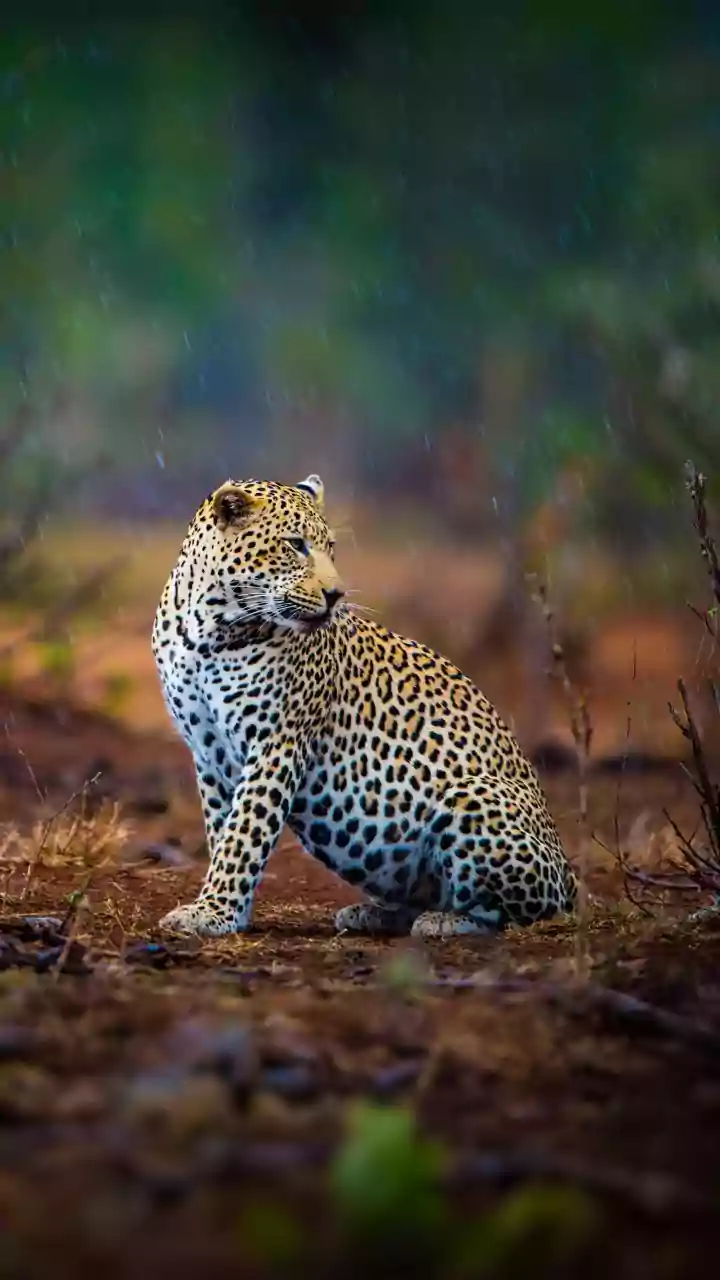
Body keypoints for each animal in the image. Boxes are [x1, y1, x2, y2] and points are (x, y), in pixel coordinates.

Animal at [152, 473, 578, 940]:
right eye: (296, 545)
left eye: (331, 548)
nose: (335, 594)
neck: (209, 628)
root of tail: (570, 877)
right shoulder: (208, 752)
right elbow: (223, 831)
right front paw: (229, 911)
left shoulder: (276, 744)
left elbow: (244, 834)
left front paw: (213, 911)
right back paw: (373, 914)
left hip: (474, 798)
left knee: (509, 912)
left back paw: (444, 921)